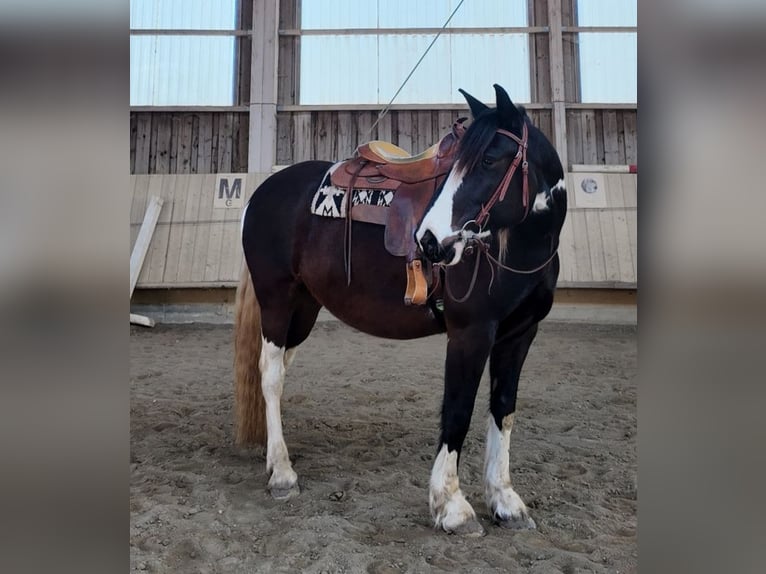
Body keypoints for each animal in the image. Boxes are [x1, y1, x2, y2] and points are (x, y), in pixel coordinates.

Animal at [237, 85, 568, 540]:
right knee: (270, 375)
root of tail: (261, 193)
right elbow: (458, 410)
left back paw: (274, 458)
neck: (518, 246)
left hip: (303, 309)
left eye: (489, 159)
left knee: (279, 371)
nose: (428, 240)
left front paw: (505, 500)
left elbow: (503, 409)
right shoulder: (471, 333)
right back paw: (283, 474)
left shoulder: (520, 335)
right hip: (277, 300)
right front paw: (452, 506)